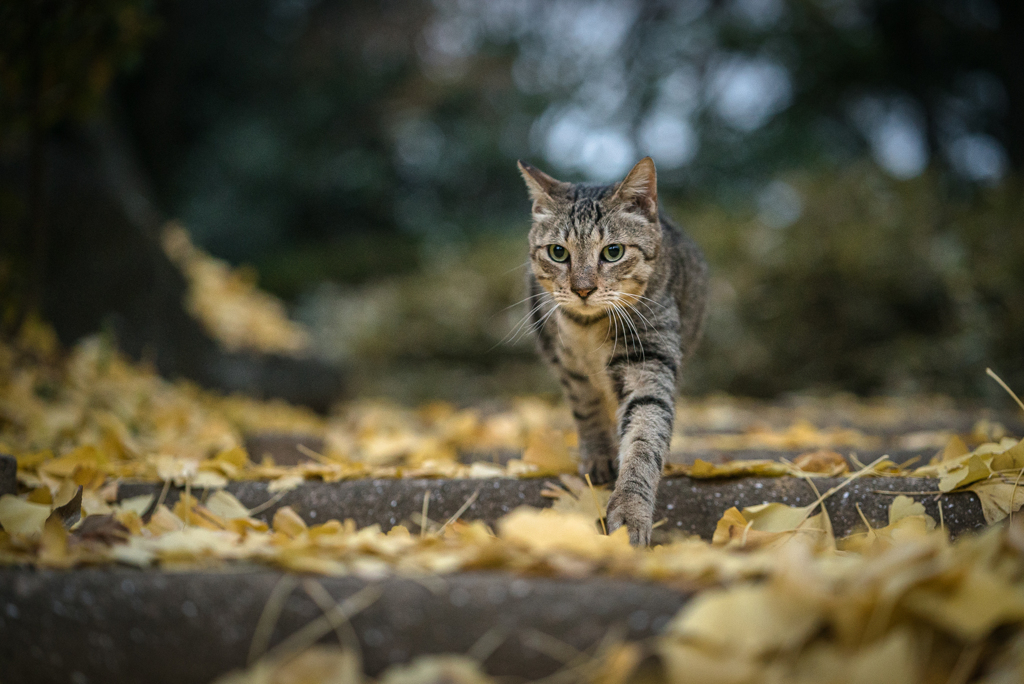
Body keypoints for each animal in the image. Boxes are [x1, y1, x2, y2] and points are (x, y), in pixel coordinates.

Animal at [516, 156, 708, 544]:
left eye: (613, 252)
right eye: (558, 253)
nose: (583, 289)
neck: (589, 329)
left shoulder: (649, 361)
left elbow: (644, 438)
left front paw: (631, 511)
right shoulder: (568, 365)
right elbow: (586, 409)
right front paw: (599, 456)